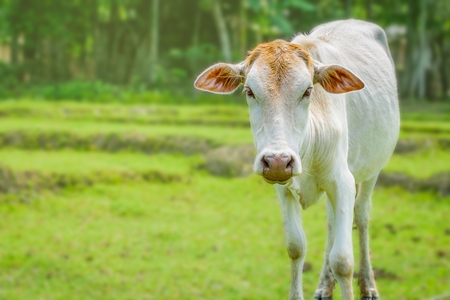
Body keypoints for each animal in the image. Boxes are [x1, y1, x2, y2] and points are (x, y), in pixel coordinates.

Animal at [192, 19, 398, 300]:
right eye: (249, 91)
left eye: (307, 90)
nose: (278, 161)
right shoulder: (284, 188)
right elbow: (295, 246)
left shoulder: (342, 181)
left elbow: (343, 260)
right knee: (332, 222)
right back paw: (324, 286)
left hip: (372, 169)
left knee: (362, 215)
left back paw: (369, 285)